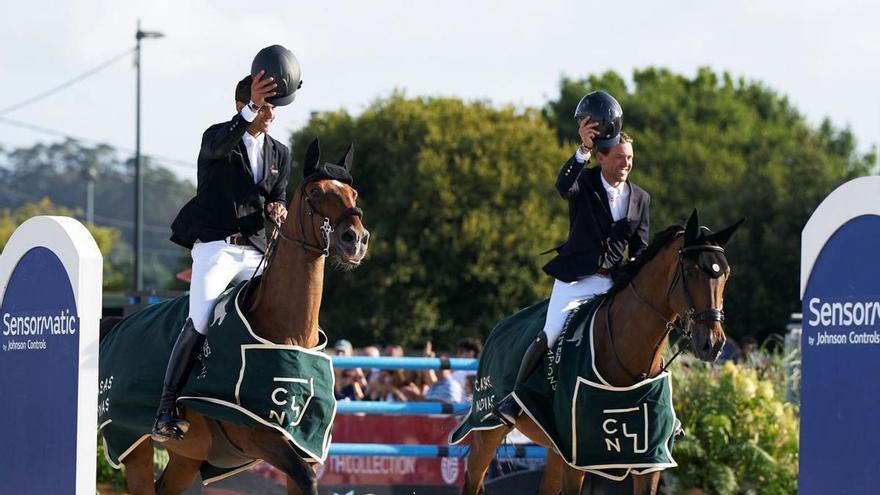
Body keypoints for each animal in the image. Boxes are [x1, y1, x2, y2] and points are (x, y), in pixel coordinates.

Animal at [102, 140, 368, 495]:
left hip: (188, 457)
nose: (356, 240)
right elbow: (307, 479)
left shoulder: (304, 445)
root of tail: (117, 326)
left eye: (353, 194)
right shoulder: (260, 438)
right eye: (315, 191)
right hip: (133, 445)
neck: (290, 334)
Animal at [460, 212, 744, 495]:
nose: (713, 344)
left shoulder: (649, 460)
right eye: (690, 271)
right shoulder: (578, 458)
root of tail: (499, 328)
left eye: (726, 274)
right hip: (487, 430)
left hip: (555, 447)